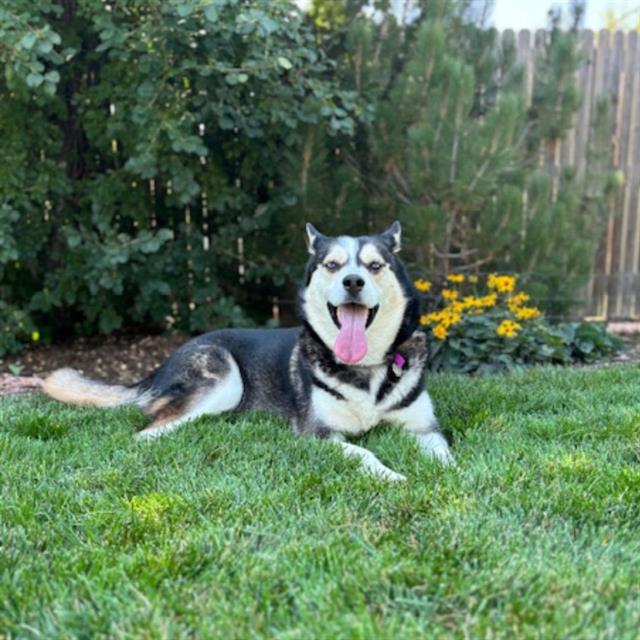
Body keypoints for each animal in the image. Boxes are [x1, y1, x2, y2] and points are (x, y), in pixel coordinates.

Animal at [42, 222, 452, 478]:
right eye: (333, 265)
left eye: (375, 265)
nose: (353, 281)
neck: (364, 368)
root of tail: (162, 364)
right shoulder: (318, 434)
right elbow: (363, 452)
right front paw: (390, 475)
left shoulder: (424, 426)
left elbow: (444, 452)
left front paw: (450, 477)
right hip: (224, 379)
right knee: (148, 431)